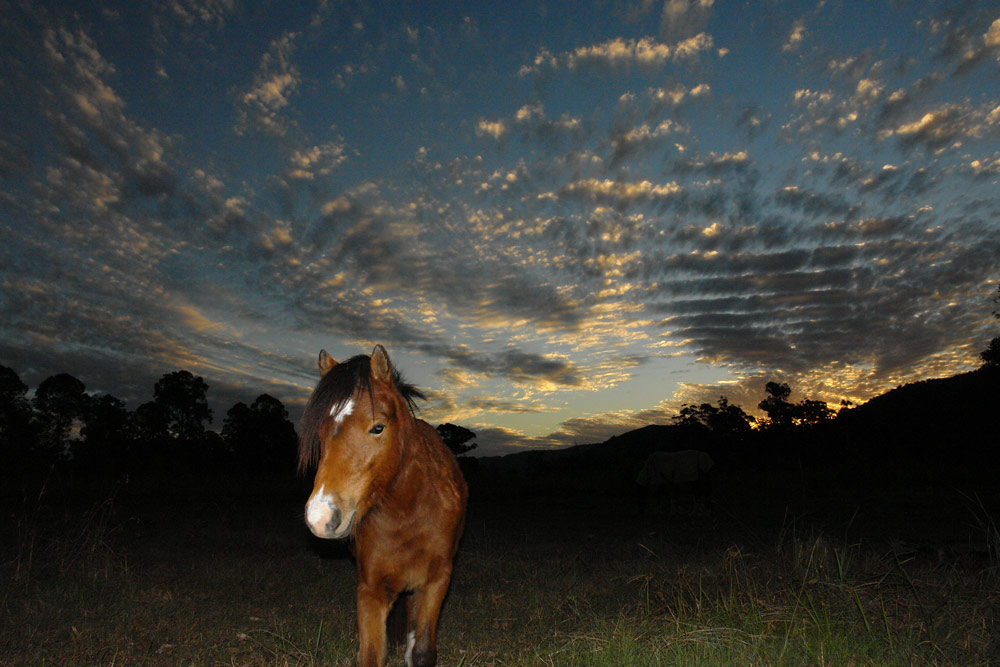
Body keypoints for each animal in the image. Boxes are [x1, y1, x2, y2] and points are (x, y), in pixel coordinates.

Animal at [296, 348, 468, 664]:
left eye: (378, 428)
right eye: (322, 432)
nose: (320, 517)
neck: (407, 513)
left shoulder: (436, 582)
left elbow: (423, 652)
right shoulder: (370, 591)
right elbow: (372, 655)